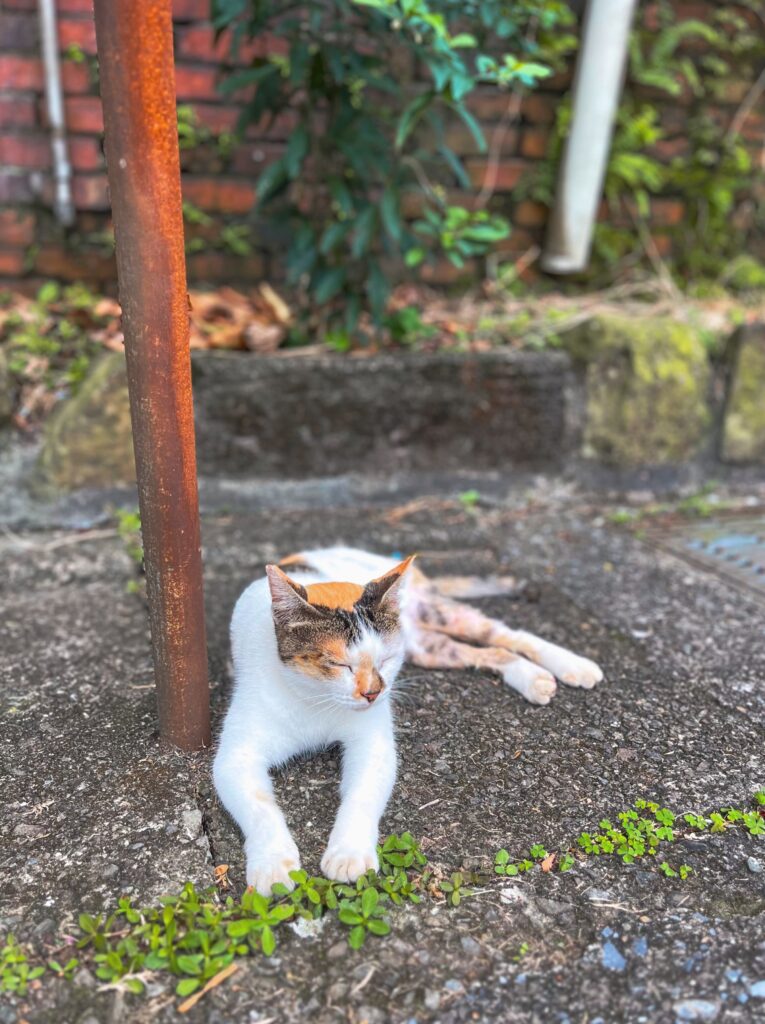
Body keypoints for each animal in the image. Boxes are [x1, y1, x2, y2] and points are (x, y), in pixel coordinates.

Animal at [214, 548, 606, 892]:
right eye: (340, 664)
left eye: (386, 660)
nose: (373, 693)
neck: (316, 701)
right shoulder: (235, 756)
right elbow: (259, 807)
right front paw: (273, 866)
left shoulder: (373, 743)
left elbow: (362, 795)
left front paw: (349, 854)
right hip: (428, 649)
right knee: (491, 651)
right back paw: (532, 677)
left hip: (436, 615)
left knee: (507, 635)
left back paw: (573, 665)